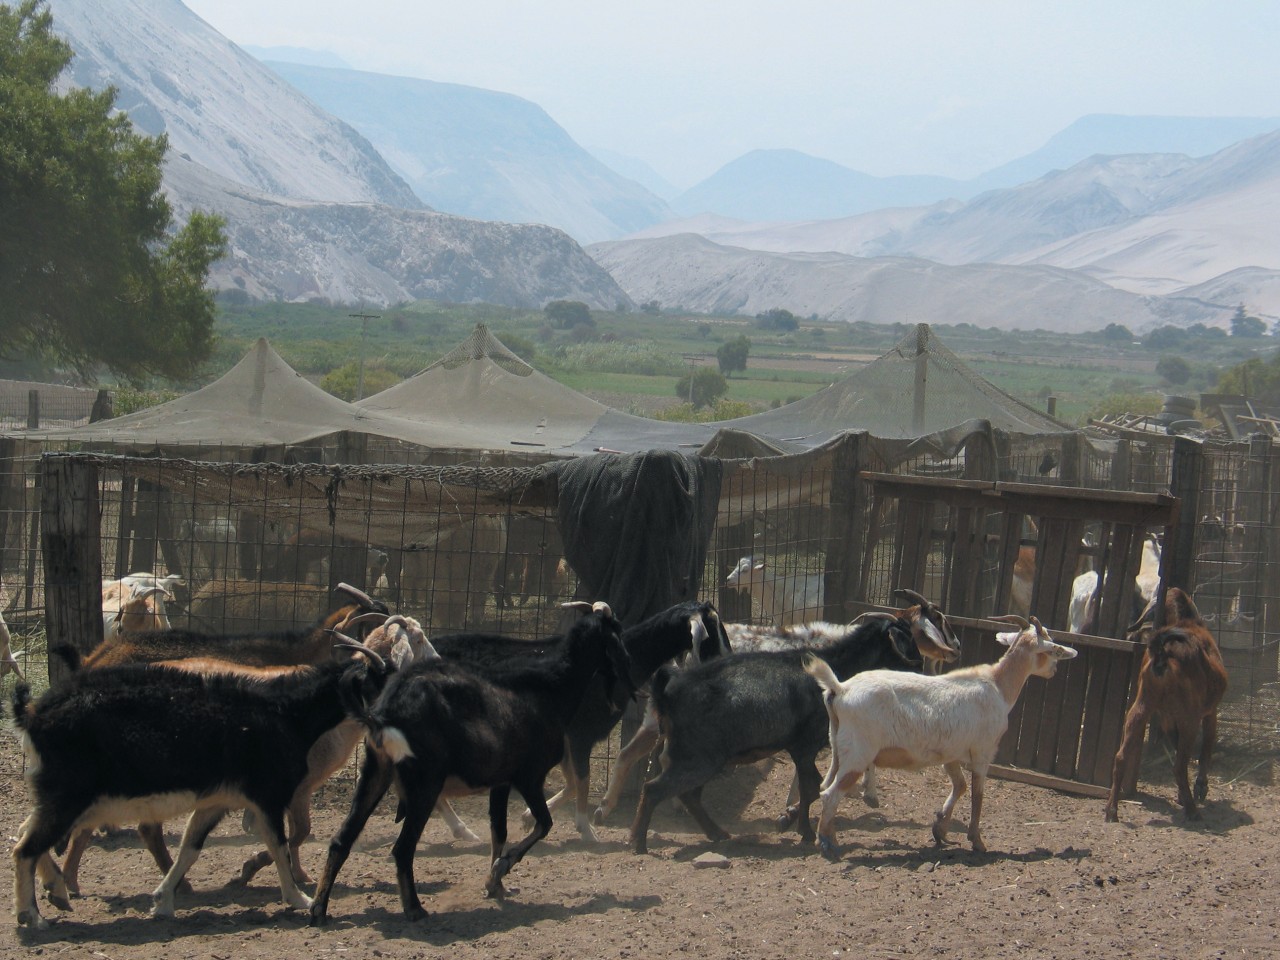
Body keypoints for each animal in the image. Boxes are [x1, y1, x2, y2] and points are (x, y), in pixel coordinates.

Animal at [309, 601, 629, 926]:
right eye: (617, 633)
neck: (550, 687)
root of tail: (382, 714)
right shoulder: (529, 776)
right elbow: (544, 824)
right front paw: (502, 867)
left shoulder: (502, 781)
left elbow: (499, 830)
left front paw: (495, 885)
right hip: (425, 783)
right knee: (402, 848)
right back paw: (414, 908)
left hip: (376, 773)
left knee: (341, 840)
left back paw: (319, 909)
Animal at [624, 593, 957, 855]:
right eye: (909, 642)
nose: (921, 672)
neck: (837, 667)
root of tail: (668, 691)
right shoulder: (805, 745)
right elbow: (811, 787)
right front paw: (805, 832)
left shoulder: (808, 748)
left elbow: (813, 787)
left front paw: (800, 827)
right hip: (698, 756)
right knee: (655, 788)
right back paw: (638, 842)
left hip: (703, 758)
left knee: (687, 794)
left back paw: (717, 833)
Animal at [803, 616, 1075, 855]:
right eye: (1052, 650)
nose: (1054, 669)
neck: (998, 686)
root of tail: (840, 689)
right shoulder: (983, 751)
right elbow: (977, 795)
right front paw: (977, 841)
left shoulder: (950, 754)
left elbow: (960, 786)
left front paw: (940, 829)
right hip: (857, 754)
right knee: (830, 794)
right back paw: (826, 843)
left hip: (839, 748)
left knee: (824, 786)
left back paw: (828, 835)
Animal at [1100, 591, 1228, 824]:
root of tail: (1162, 655)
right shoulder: (1209, 712)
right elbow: (1206, 749)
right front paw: (1200, 788)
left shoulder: (1167, 718)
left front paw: (1182, 795)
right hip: (1190, 719)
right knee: (1179, 766)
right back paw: (1193, 811)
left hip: (1140, 709)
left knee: (1121, 757)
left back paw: (1111, 811)